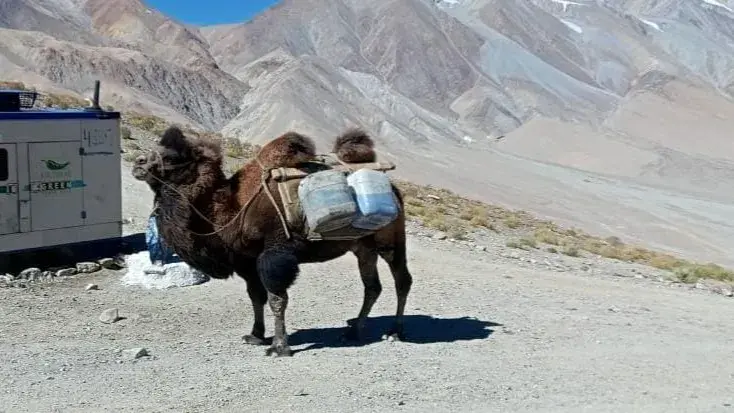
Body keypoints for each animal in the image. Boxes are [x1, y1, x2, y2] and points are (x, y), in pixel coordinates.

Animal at [131, 126, 413, 357]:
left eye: (172, 157)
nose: (138, 163)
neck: (231, 210)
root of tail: (394, 190)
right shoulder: (246, 260)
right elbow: (256, 296)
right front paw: (255, 335)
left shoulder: (275, 254)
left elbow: (277, 298)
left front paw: (279, 347)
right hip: (363, 247)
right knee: (372, 286)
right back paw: (353, 331)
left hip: (391, 240)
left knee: (402, 280)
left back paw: (395, 332)